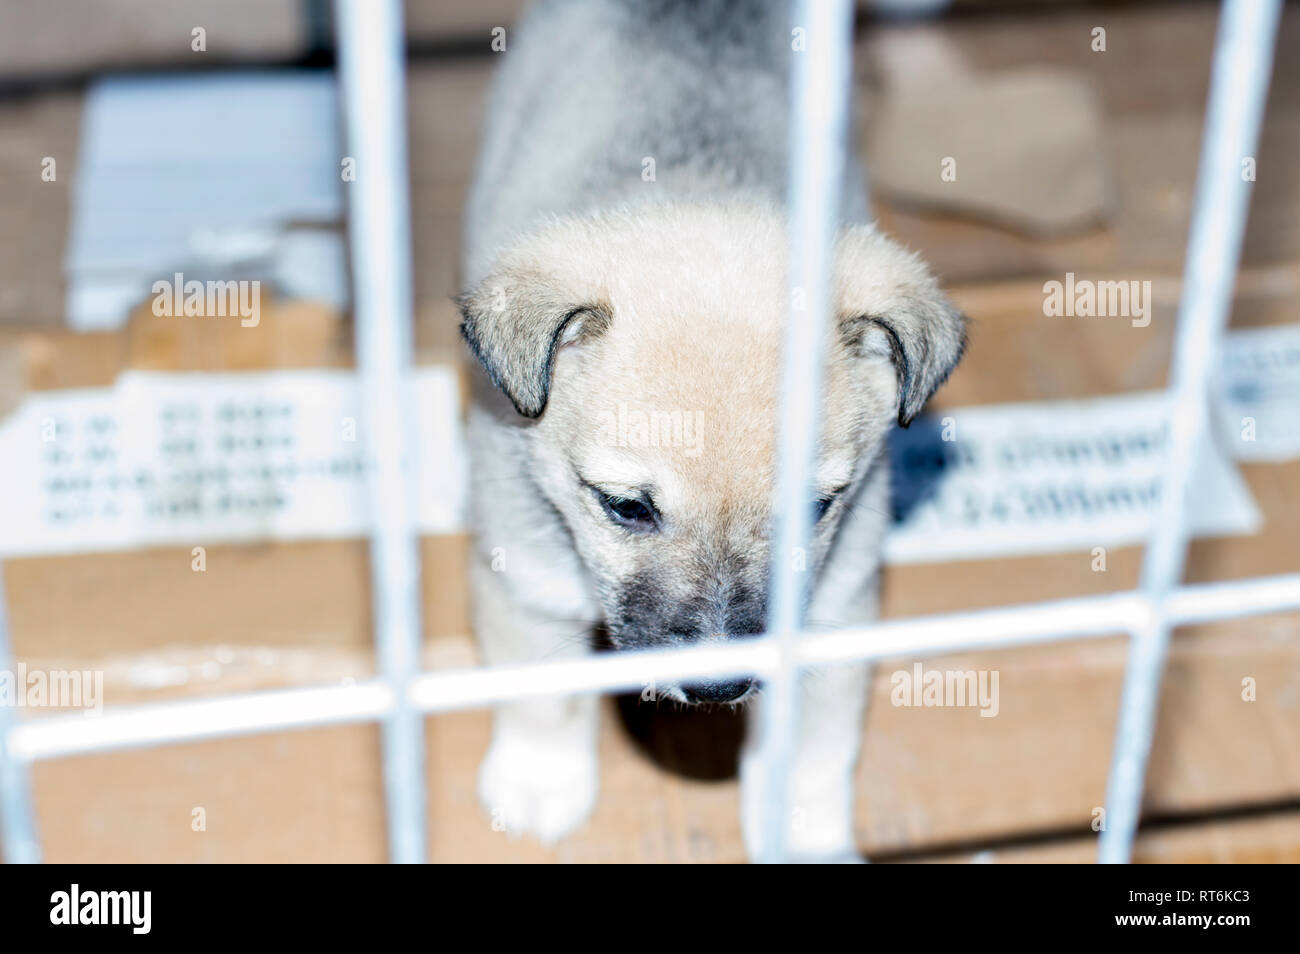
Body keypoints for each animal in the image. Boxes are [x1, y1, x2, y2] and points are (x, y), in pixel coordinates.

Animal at [457, 0, 967, 868]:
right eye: (627, 507)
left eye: (816, 509)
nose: (722, 686)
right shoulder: (527, 572)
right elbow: (540, 692)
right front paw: (540, 782)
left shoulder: (836, 606)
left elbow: (813, 747)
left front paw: (802, 828)